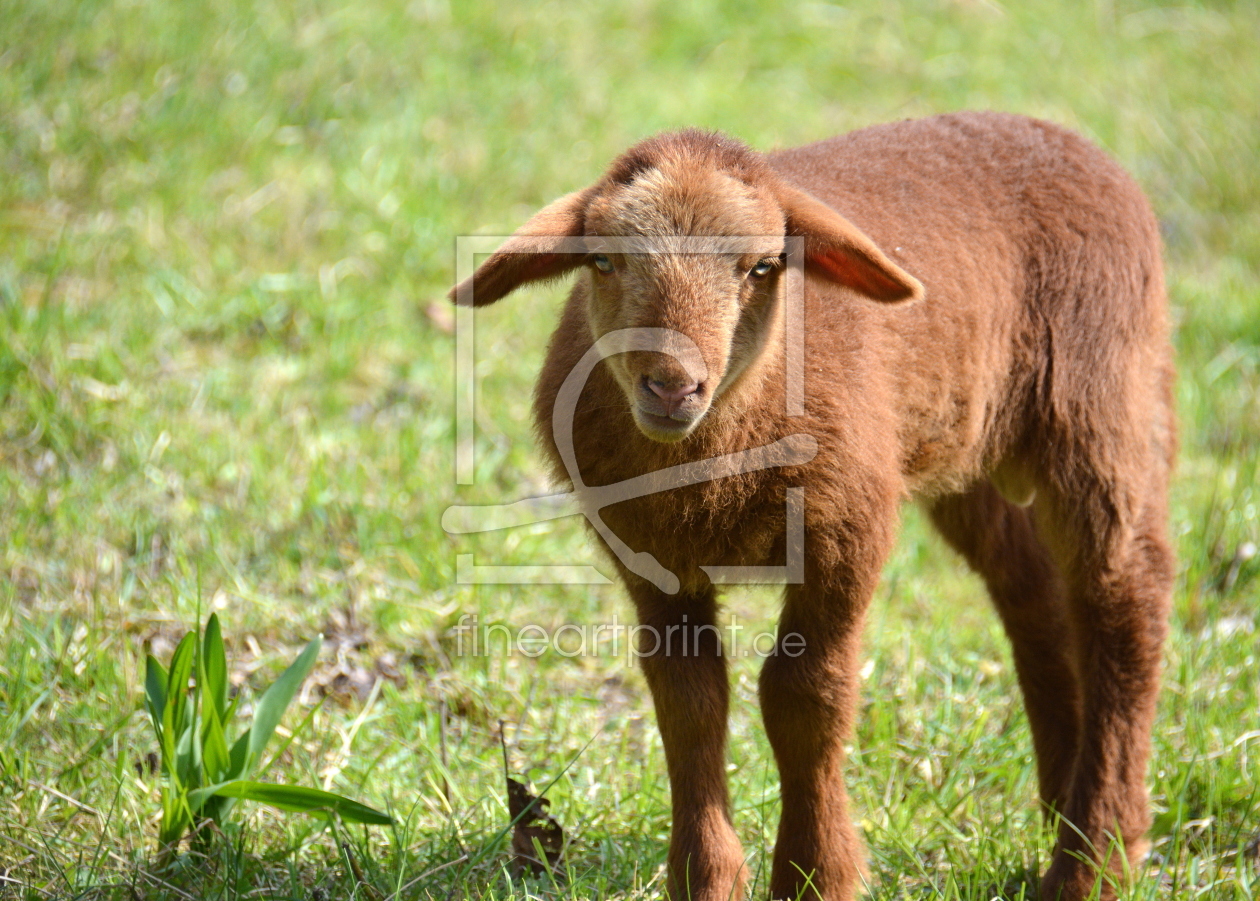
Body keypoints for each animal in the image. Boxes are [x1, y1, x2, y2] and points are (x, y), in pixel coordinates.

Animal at [451, 112, 1169, 901]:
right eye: (604, 262)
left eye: (763, 268)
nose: (672, 386)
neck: (716, 460)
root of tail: (1057, 131)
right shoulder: (651, 558)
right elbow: (689, 699)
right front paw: (706, 877)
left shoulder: (845, 530)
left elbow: (805, 696)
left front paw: (813, 872)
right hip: (971, 448)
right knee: (1035, 593)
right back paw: (1060, 805)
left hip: (1102, 398)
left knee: (1123, 599)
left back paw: (1095, 857)